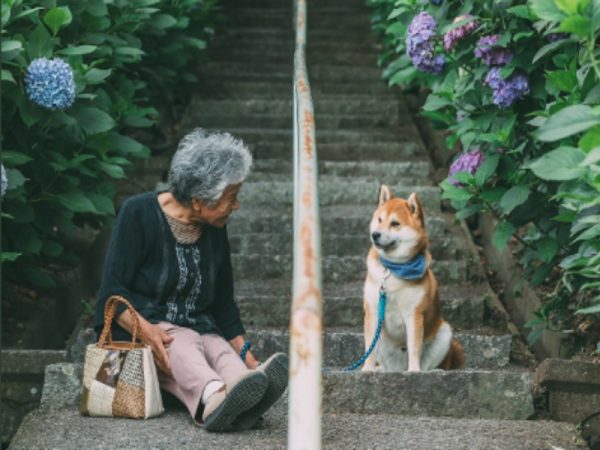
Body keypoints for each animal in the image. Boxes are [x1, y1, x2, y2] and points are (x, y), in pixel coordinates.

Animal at [360, 185, 464, 370]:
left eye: (395, 223)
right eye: (379, 219)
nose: (375, 234)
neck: (394, 269)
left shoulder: (414, 314)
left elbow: (414, 347)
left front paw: (414, 371)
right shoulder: (372, 310)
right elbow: (369, 350)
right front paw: (366, 370)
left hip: (444, 333)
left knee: (429, 363)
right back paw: (381, 369)